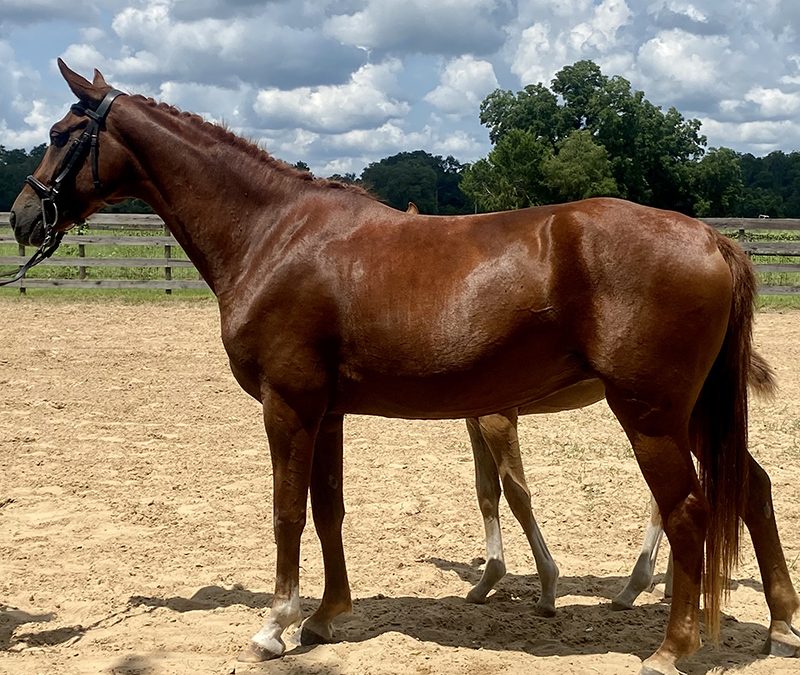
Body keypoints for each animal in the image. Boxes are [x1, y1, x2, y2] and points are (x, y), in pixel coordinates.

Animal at [9, 62, 799, 675]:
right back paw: (780, 624)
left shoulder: (287, 405)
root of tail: (711, 239)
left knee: (690, 511)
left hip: (651, 416)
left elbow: (286, 511)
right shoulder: (325, 411)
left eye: (59, 136)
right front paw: (326, 616)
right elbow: (328, 510)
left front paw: (273, 626)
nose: (21, 217)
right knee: (753, 491)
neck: (276, 234)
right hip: (697, 413)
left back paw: (672, 647)